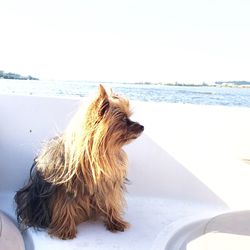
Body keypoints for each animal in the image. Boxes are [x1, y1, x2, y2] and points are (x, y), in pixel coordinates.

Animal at [14, 85, 144, 239]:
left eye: (128, 116)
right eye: (124, 119)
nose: (142, 127)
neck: (100, 154)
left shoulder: (108, 184)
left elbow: (111, 201)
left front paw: (115, 221)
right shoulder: (65, 189)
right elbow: (64, 206)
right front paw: (65, 229)